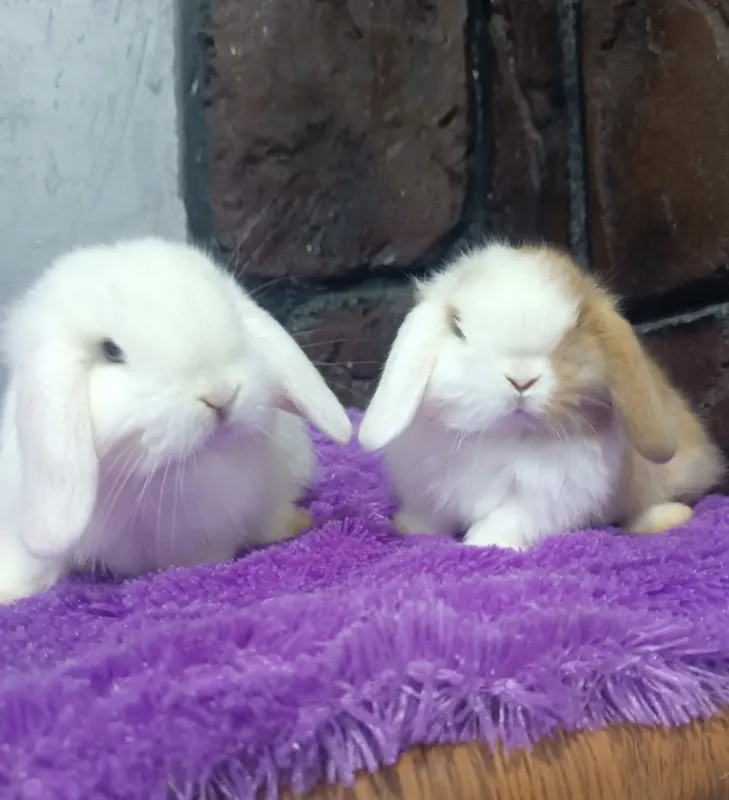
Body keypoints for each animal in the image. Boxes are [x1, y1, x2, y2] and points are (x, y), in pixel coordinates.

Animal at [358, 242, 725, 550]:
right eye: (458, 328)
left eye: (578, 324)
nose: (521, 379)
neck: (504, 438)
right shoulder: (425, 488)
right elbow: (429, 518)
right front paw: (408, 528)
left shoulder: (547, 499)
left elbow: (510, 519)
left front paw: (486, 544)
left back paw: (665, 518)